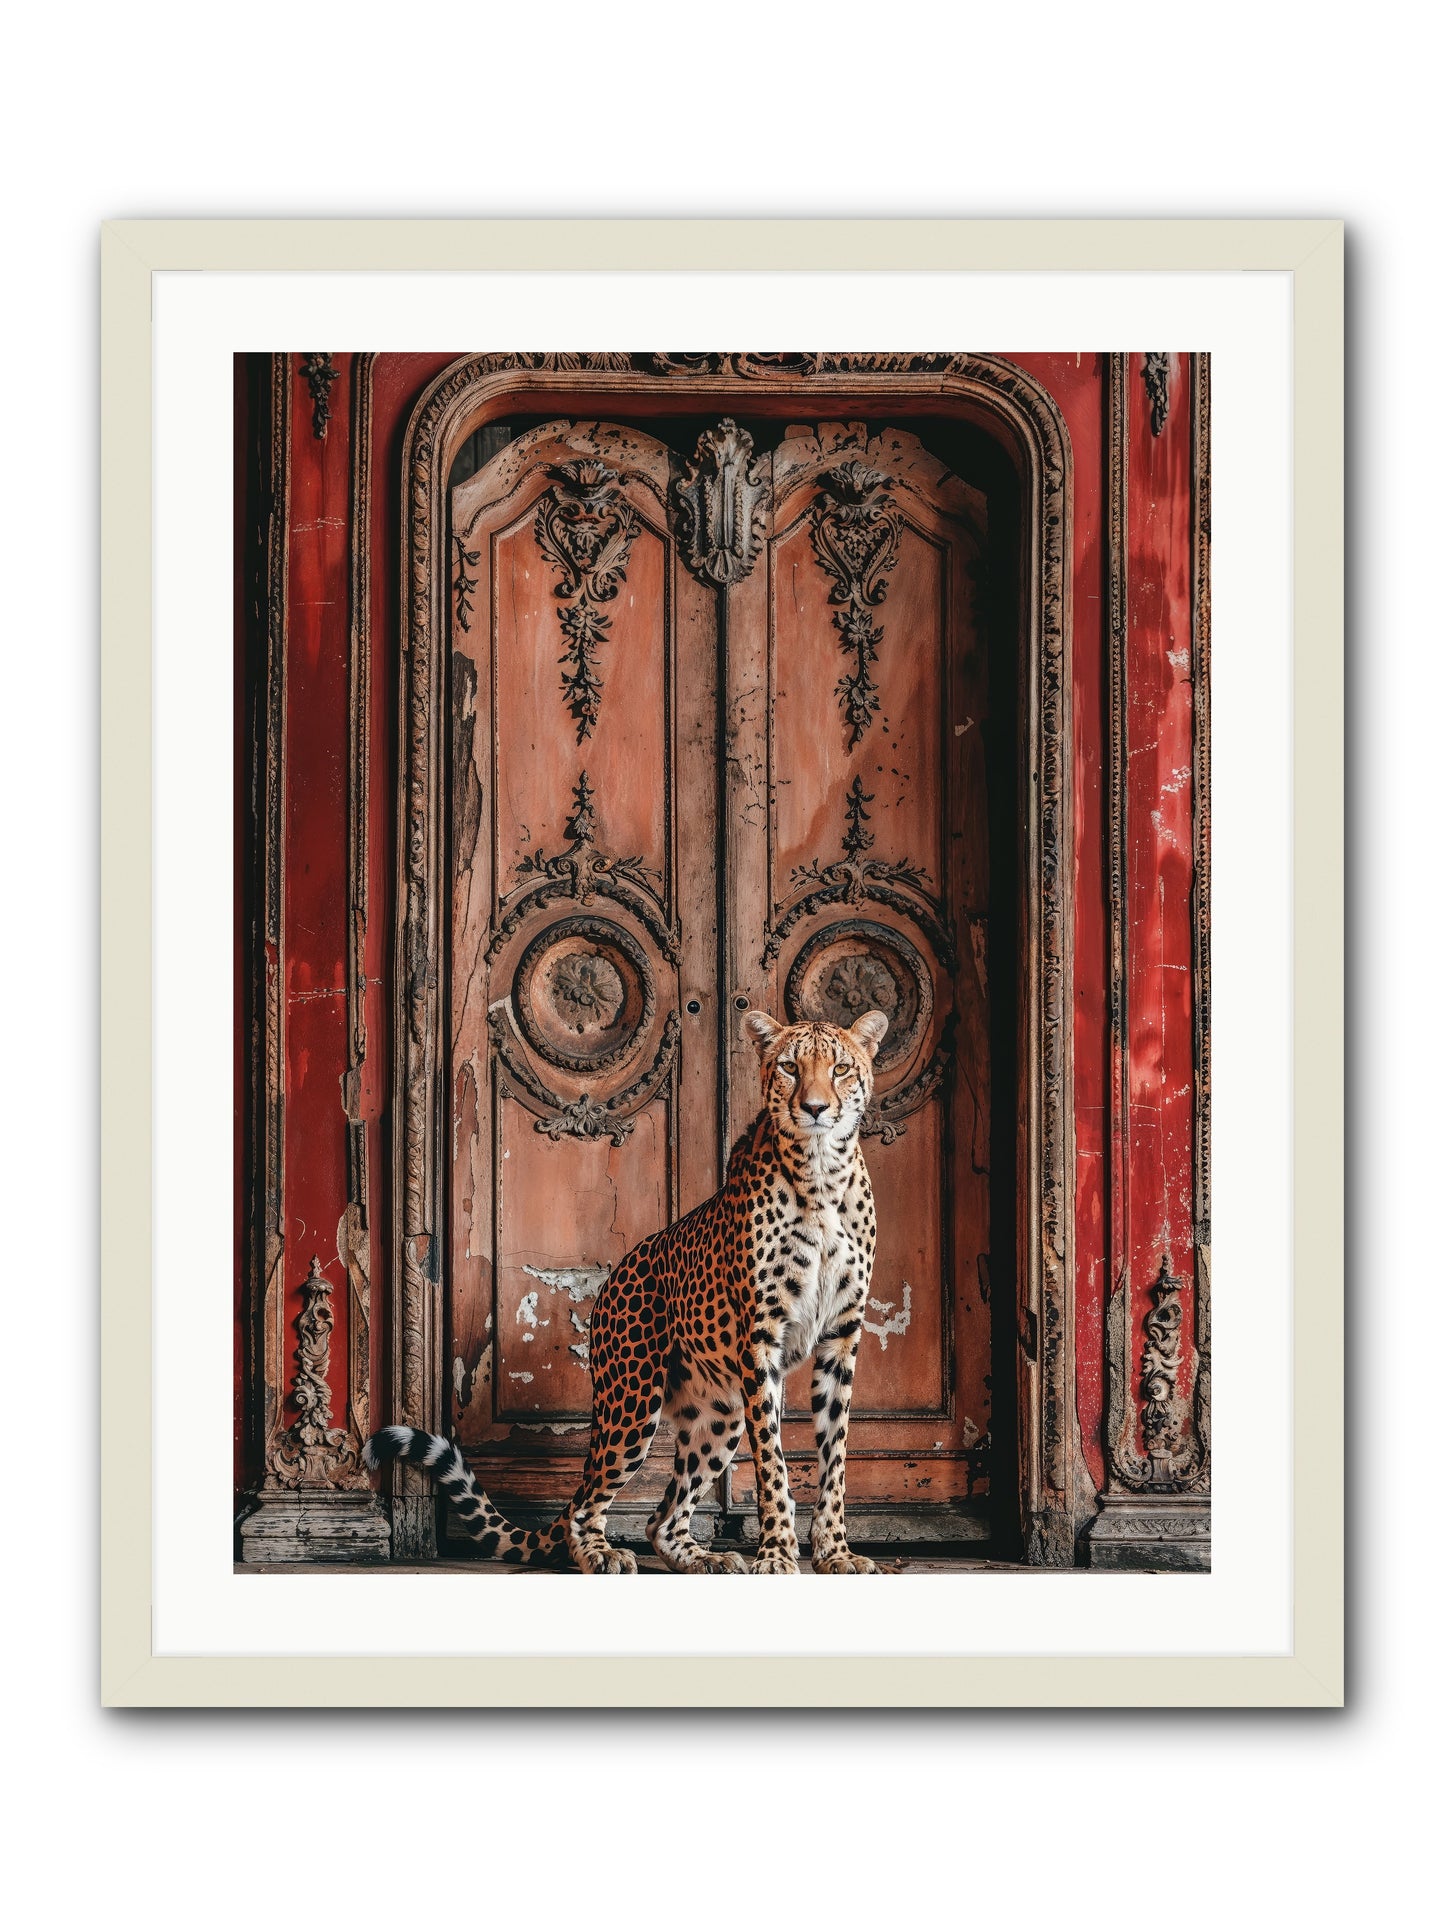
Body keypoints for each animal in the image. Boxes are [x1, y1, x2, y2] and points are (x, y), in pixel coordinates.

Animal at [364, 1006, 889, 1574]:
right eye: (791, 1067)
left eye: (840, 1068)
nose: (815, 1108)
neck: (822, 1175)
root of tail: (615, 1274)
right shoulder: (762, 1339)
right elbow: (773, 1460)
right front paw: (775, 1554)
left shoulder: (841, 1336)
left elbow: (835, 1457)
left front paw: (835, 1553)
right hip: (633, 1401)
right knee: (585, 1504)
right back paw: (602, 1553)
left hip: (719, 1414)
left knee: (661, 1519)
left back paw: (706, 1559)